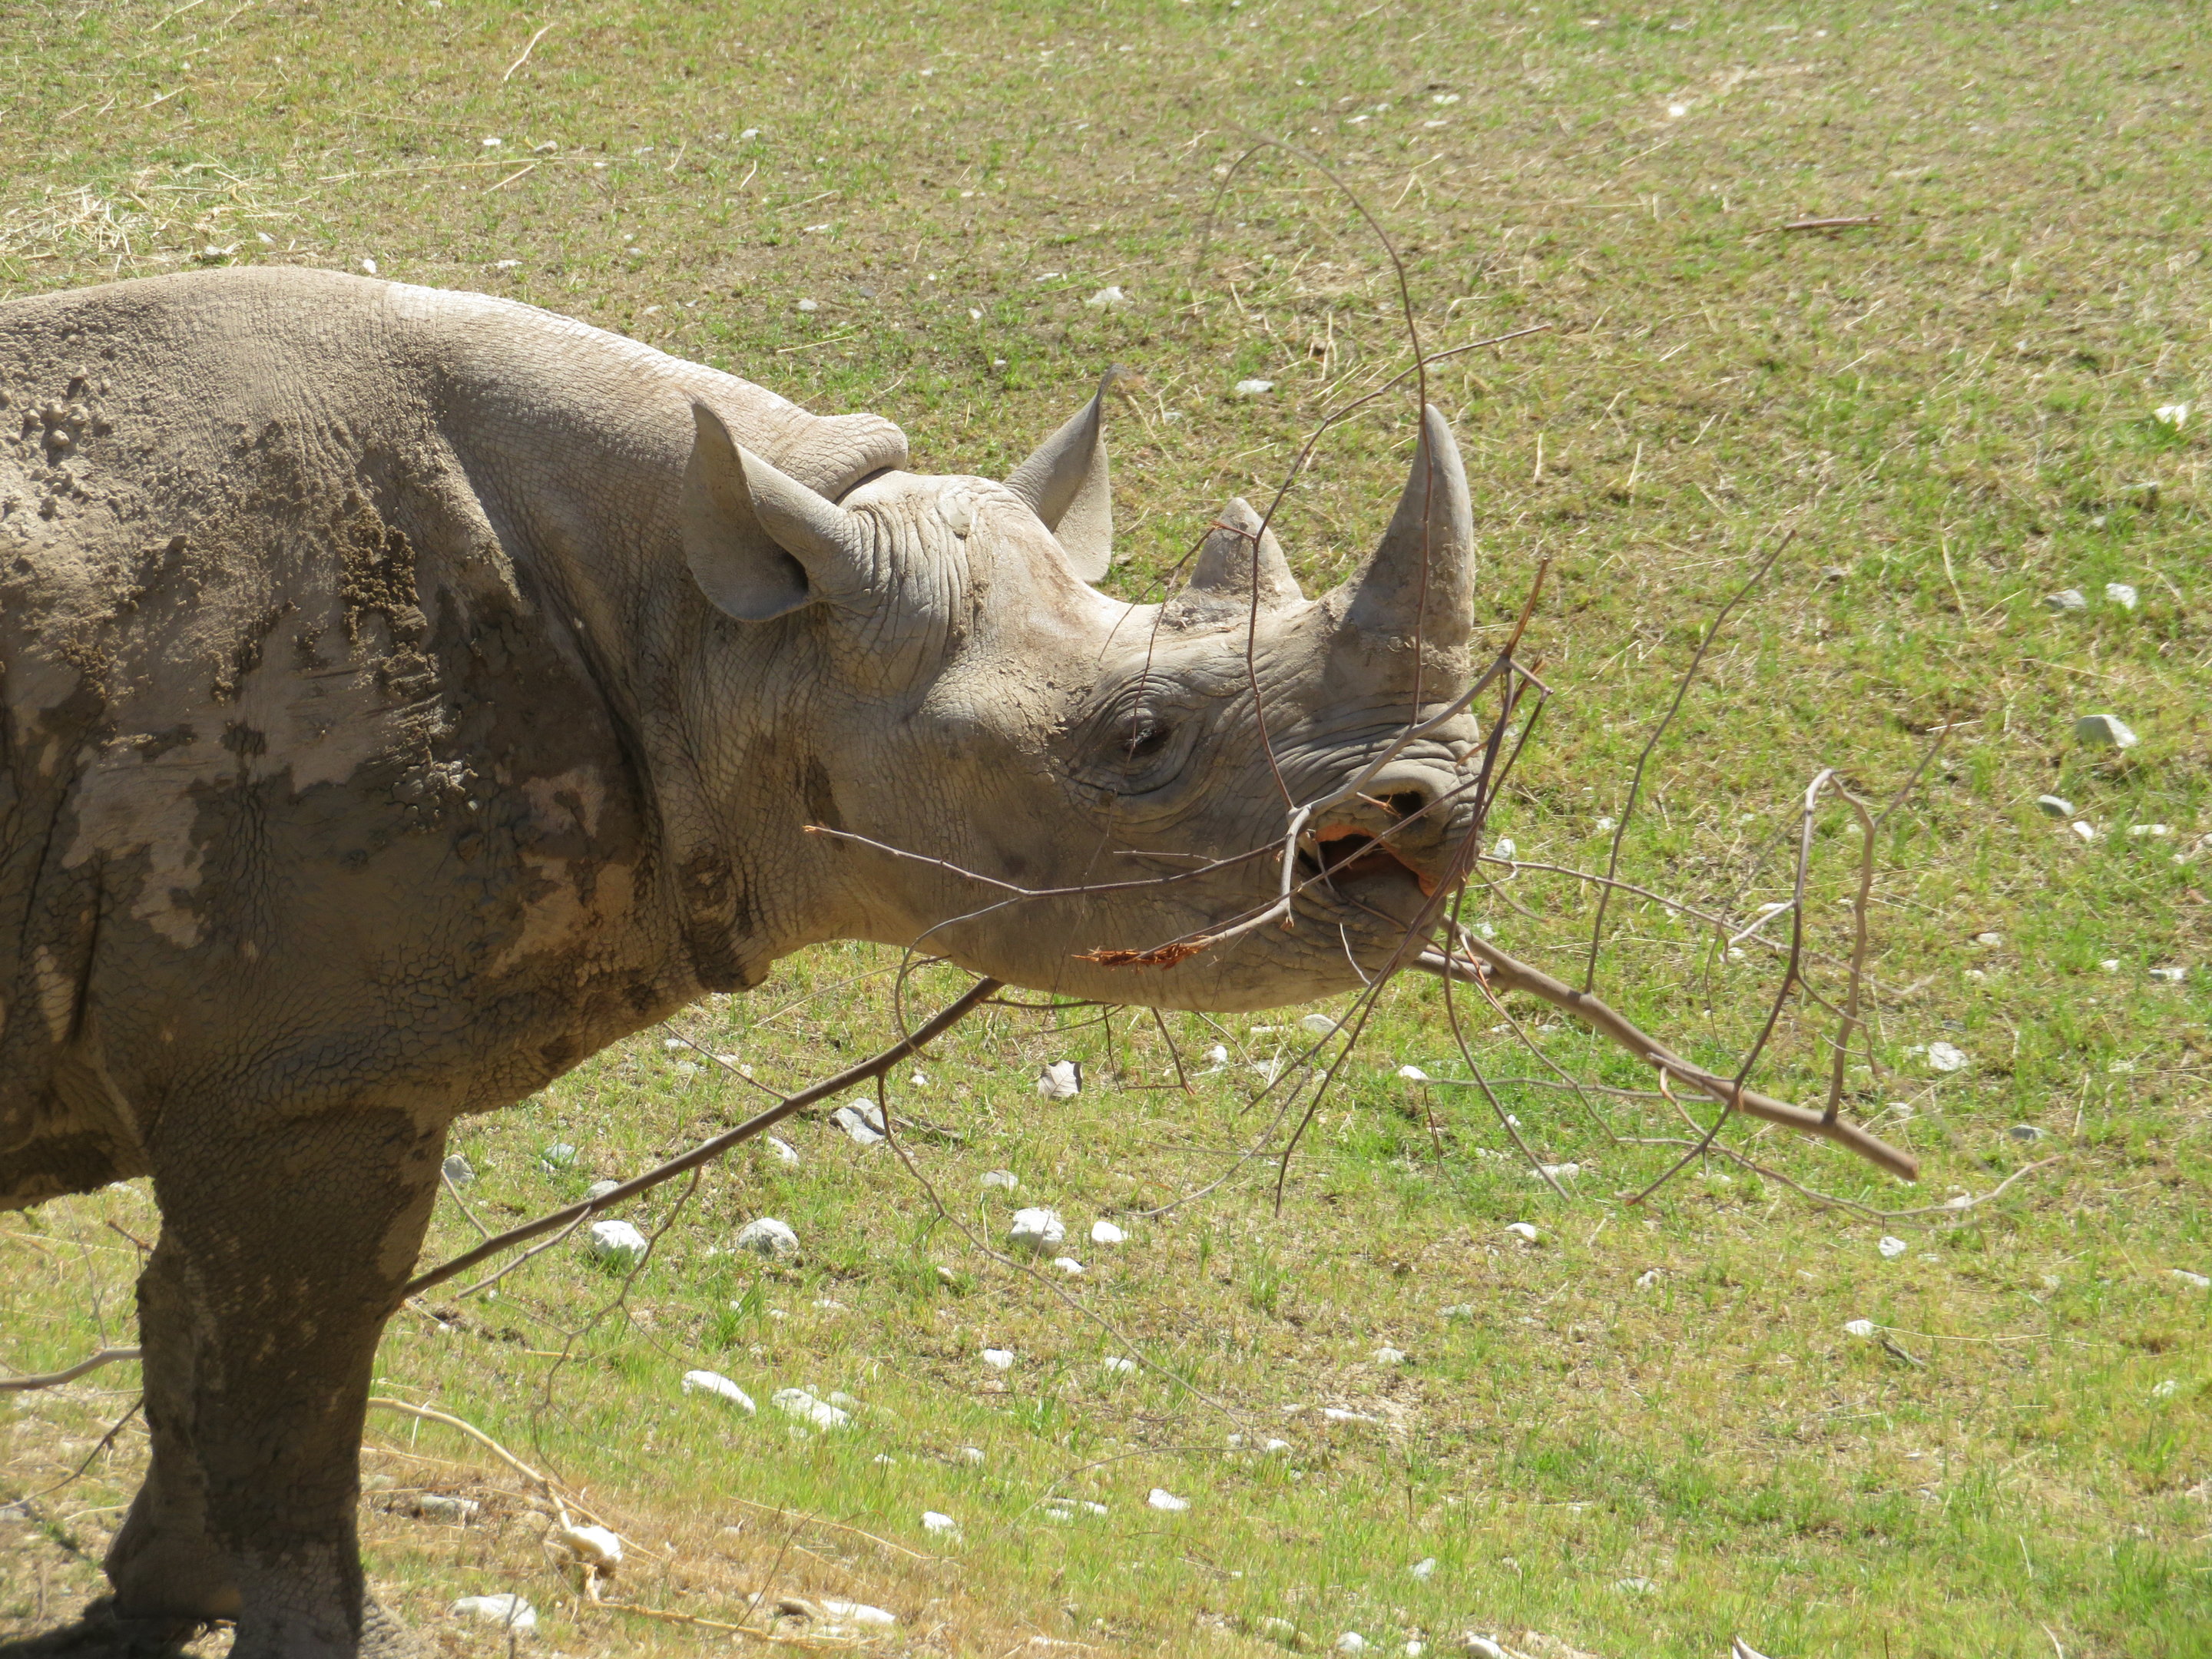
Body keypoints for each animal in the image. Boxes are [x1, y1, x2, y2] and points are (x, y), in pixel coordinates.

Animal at [0, 267, 1482, 1655]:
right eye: (1139, 739)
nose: (1438, 807)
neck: (719, 632)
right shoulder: (302, 1078)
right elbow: (289, 1396)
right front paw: (314, 1632)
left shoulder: (262, 1072)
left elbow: (194, 1340)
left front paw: (156, 1601)